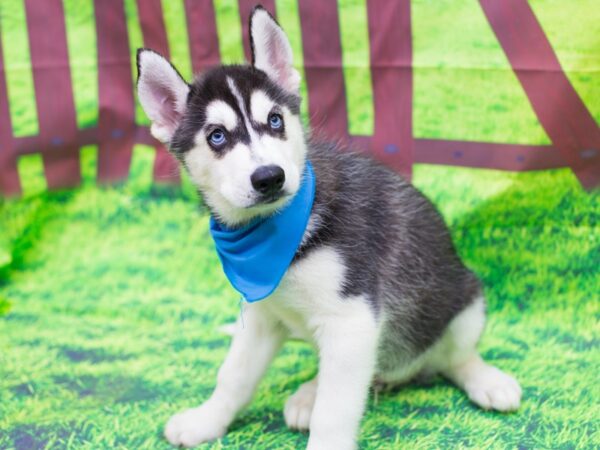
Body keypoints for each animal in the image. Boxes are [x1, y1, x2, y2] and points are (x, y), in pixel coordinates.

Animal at [136, 5, 520, 448]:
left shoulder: (353, 318)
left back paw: (485, 380)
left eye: (275, 121)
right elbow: (233, 376)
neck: (279, 234)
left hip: (463, 301)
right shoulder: (262, 316)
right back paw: (311, 392)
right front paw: (207, 420)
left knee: (451, 357)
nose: (269, 177)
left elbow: (335, 412)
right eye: (217, 136)